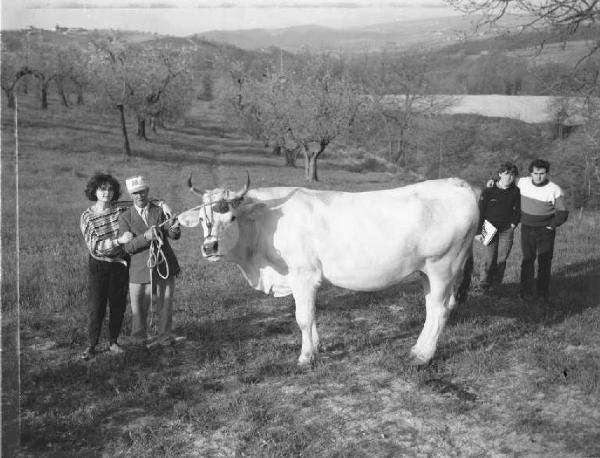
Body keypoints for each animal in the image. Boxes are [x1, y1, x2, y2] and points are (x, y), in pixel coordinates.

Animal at [178, 177, 478, 366]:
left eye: (231, 217)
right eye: (203, 220)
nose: (210, 246)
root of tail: (455, 183)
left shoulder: (303, 274)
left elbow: (303, 318)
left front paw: (306, 357)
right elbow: (311, 317)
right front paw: (317, 346)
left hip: (443, 266)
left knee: (439, 311)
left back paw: (423, 356)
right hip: (427, 271)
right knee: (432, 309)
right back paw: (417, 348)